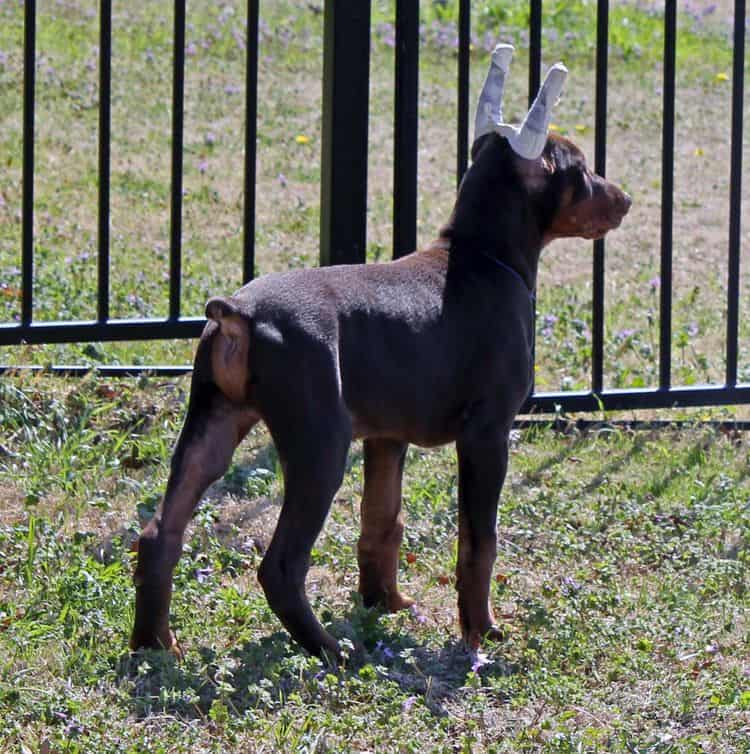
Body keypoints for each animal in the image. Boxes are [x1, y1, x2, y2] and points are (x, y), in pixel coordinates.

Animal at [132, 48, 632, 656]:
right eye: (580, 169)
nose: (626, 199)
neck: (481, 254)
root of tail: (237, 313)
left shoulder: (387, 437)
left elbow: (381, 523)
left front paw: (384, 604)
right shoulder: (487, 434)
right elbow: (478, 542)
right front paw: (480, 633)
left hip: (213, 424)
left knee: (160, 532)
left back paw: (153, 644)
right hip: (320, 446)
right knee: (280, 565)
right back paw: (328, 650)